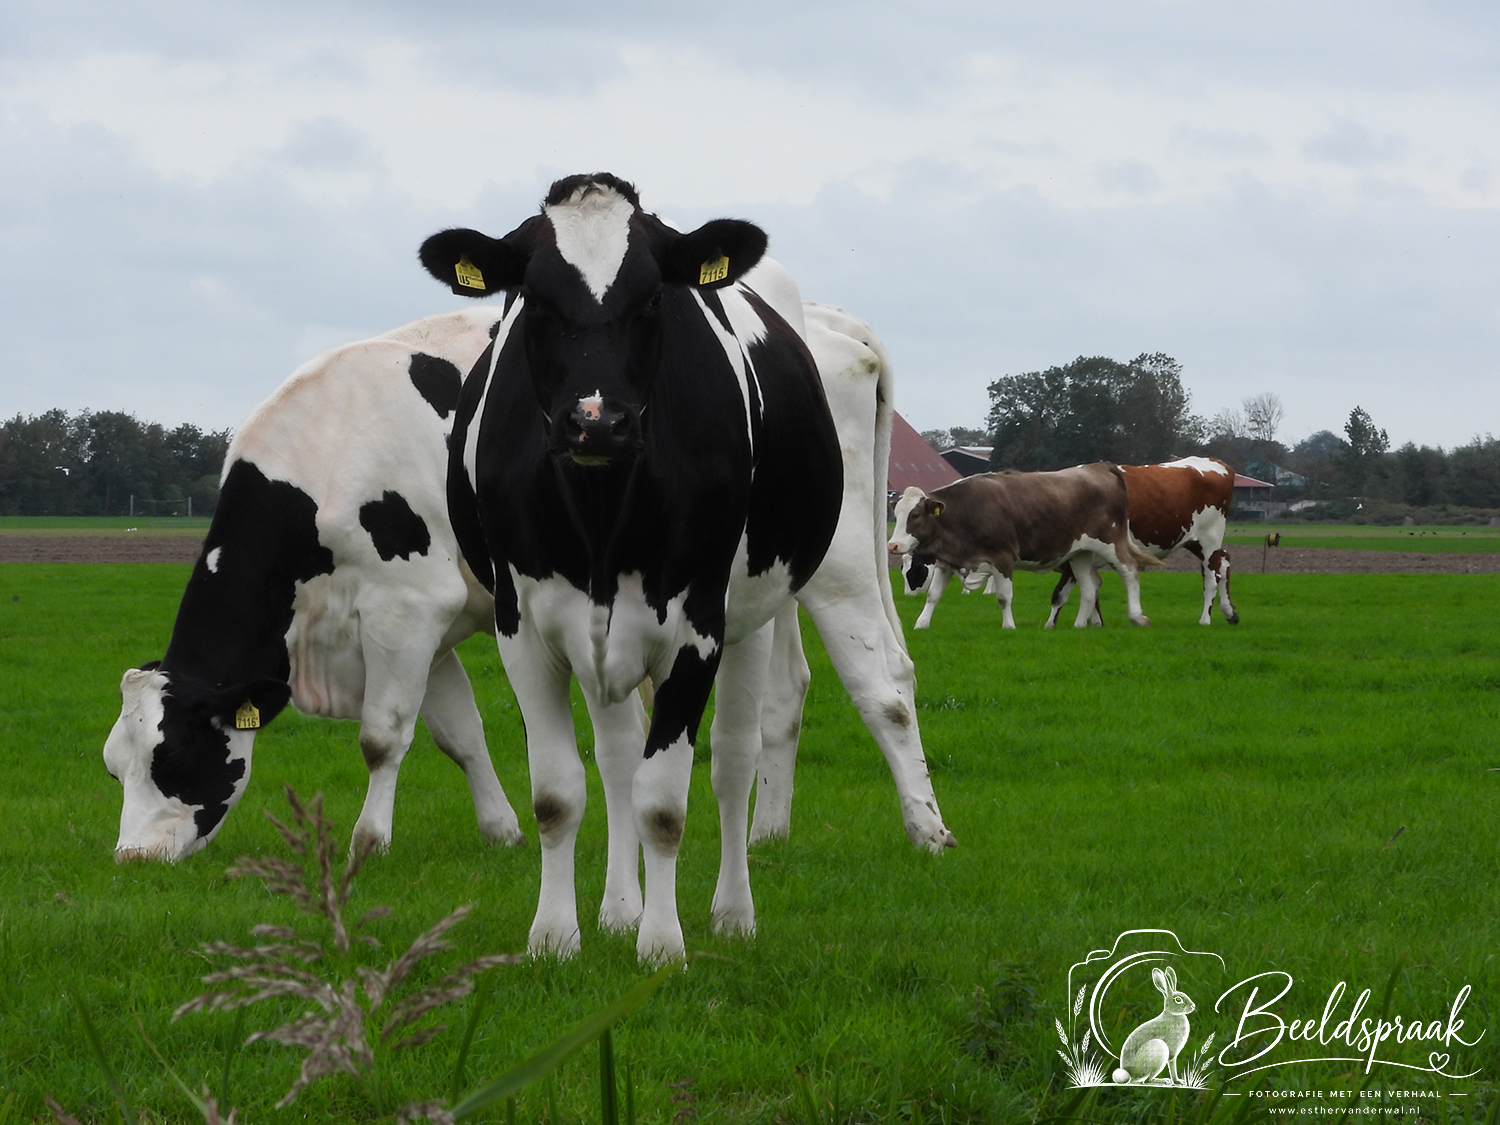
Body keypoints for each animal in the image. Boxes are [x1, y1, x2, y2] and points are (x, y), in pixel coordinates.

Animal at [103, 309, 527, 862]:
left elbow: (382, 737)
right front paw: (503, 831)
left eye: (171, 758)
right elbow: (462, 735)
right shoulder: (427, 627)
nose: (132, 856)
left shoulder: (409, 607)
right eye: (113, 769)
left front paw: (367, 844)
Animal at [421, 172, 846, 962]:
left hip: (752, 615)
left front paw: (662, 946)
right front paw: (557, 935)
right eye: (534, 298)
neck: (601, 514)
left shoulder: (696, 626)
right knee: (619, 757)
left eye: (653, 299)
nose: (597, 421)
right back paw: (619, 908)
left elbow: (665, 803)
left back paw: (731, 914)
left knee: (733, 760)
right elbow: (559, 793)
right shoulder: (523, 625)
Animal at [886, 464, 1160, 629]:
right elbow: (933, 596)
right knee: (1089, 589)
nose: (892, 545)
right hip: (1080, 553)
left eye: (915, 515)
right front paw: (921, 624)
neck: (967, 511)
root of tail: (1099, 466)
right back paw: (1079, 625)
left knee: (1129, 570)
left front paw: (1009, 626)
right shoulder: (946, 562)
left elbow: (1003, 597)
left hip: (1110, 542)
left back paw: (1137, 616)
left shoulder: (1003, 558)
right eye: (896, 515)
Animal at [1044, 457, 1239, 627]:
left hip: (1209, 540)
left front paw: (1050, 625)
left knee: (1212, 577)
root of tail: (1217, 462)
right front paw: (1097, 623)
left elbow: (1060, 594)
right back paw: (1230, 613)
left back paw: (1205, 619)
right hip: (1194, 541)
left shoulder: (1076, 553)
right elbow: (1093, 588)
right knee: (1224, 561)